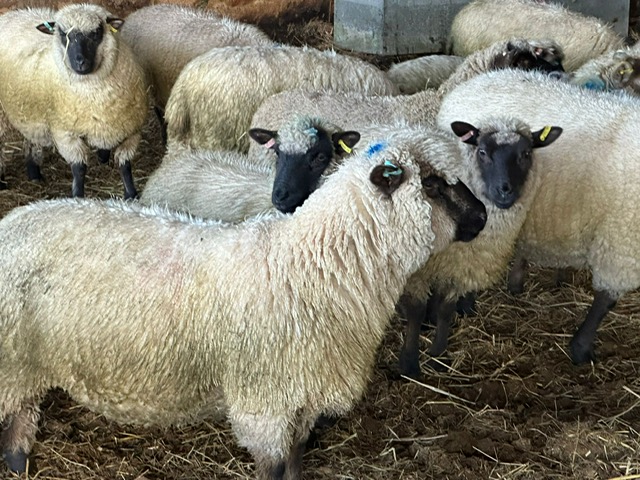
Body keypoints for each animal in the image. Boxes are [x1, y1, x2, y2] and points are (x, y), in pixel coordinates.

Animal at [0, 4, 149, 198]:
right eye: (64, 34)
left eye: (96, 33)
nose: (80, 62)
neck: (97, 96)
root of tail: (13, 14)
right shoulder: (66, 134)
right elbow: (79, 169)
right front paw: (78, 197)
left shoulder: (131, 132)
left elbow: (125, 166)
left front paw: (131, 194)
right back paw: (2, 182)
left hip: (30, 113)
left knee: (32, 139)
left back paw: (34, 174)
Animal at [0, 127, 488, 479]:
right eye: (431, 184)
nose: (483, 214)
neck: (316, 269)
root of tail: (14, 219)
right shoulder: (265, 404)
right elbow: (273, 469)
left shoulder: (301, 400)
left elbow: (295, 464)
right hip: (12, 360)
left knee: (20, 422)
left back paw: (20, 464)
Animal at [396, 117, 562, 377]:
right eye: (482, 152)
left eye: (526, 154)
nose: (505, 191)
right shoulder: (418, 271)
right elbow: (416, 310)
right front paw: (410, 364)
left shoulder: (460, 265)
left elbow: (445, 309)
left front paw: (438, 354)